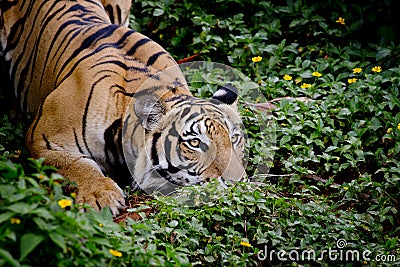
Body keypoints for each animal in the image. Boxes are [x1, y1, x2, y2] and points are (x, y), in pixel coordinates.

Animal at [0, 0, 245, 216]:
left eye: (234, 139)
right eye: (194, 143)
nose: (237, 184)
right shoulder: (42, 139)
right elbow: (77, 164)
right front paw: (100, 196)